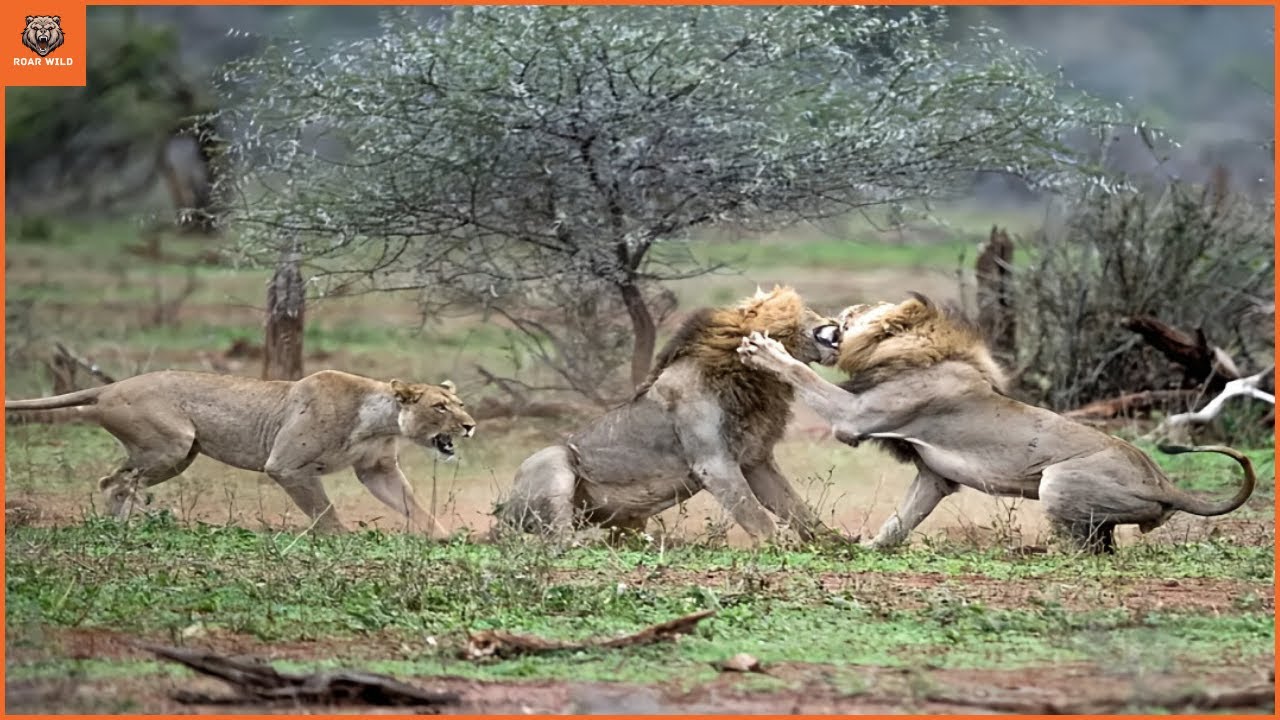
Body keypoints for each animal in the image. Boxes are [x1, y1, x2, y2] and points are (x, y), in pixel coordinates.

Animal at [5, 370, 476, 537]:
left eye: (460, 403)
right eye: (440, 406)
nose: (470, 425)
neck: (379, 418)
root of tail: (111, 385)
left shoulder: (377, 469)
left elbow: (414, 505)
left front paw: (443, 538)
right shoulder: (286, 466)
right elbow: (324, 511)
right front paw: (342, 541)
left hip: (180, 454)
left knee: (112, 479)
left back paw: (116, 528)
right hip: (172, 444)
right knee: (118, 481)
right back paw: (129, 523)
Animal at [496, 286, 847, 544]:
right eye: (808, 311)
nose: (835, 323)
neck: (755, 378)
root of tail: (503, 512)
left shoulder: (754, 459)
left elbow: (797, 509)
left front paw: (837, 546)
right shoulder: (714, 463)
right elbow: (758, 518)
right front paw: (781, 549)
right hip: (553, 459)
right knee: (557, 540)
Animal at [737, 293, 1256, 553]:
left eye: (859, 312)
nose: (838, 314)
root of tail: (1164, 483)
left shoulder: (855, 418)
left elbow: (807, 377)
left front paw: (765, 350)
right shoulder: (935, 476)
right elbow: (900, 521)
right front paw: (865, 549)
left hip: (1055, 482)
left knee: (1082, 549)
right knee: (1102, 545)